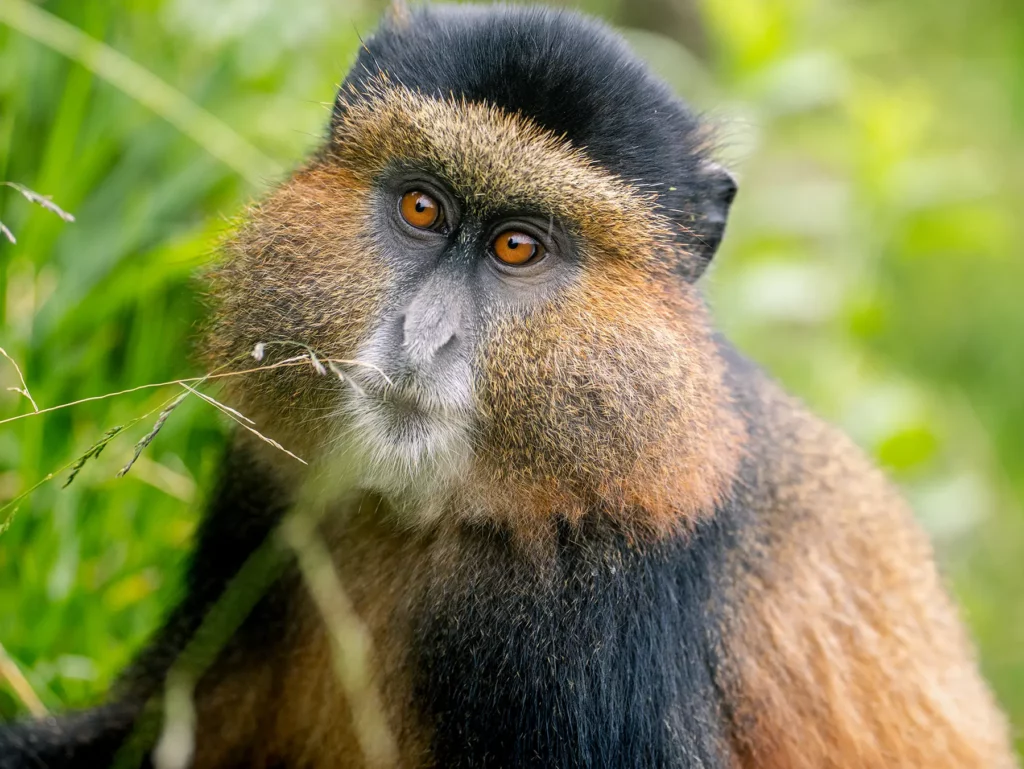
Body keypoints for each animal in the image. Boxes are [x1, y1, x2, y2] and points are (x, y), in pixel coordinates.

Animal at [0, 3, 1018, 768]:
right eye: (423, 208)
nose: (427, 337)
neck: (434, 517)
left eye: (518, 246)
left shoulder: (602, 613)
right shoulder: (265, 497)